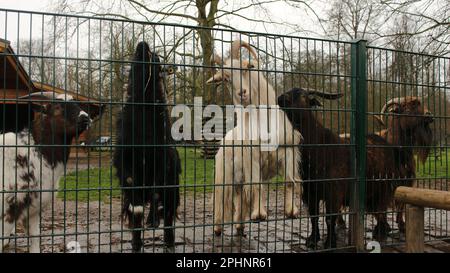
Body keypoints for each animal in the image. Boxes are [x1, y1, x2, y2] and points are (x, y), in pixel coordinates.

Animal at [0, 92, 92, 253]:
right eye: (57, 106)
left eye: (77, 103)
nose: (85, 117)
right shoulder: (8, 210)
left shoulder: (33, 209)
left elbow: (35, 238)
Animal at [113, 41, 180, 252]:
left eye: (157, 58)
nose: (143, 45)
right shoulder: (126, 164)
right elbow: (135, 211)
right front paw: (136, 243)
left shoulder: (163, 161)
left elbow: (158, 200)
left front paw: (153, 221)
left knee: (168, 215)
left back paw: (168, 242)